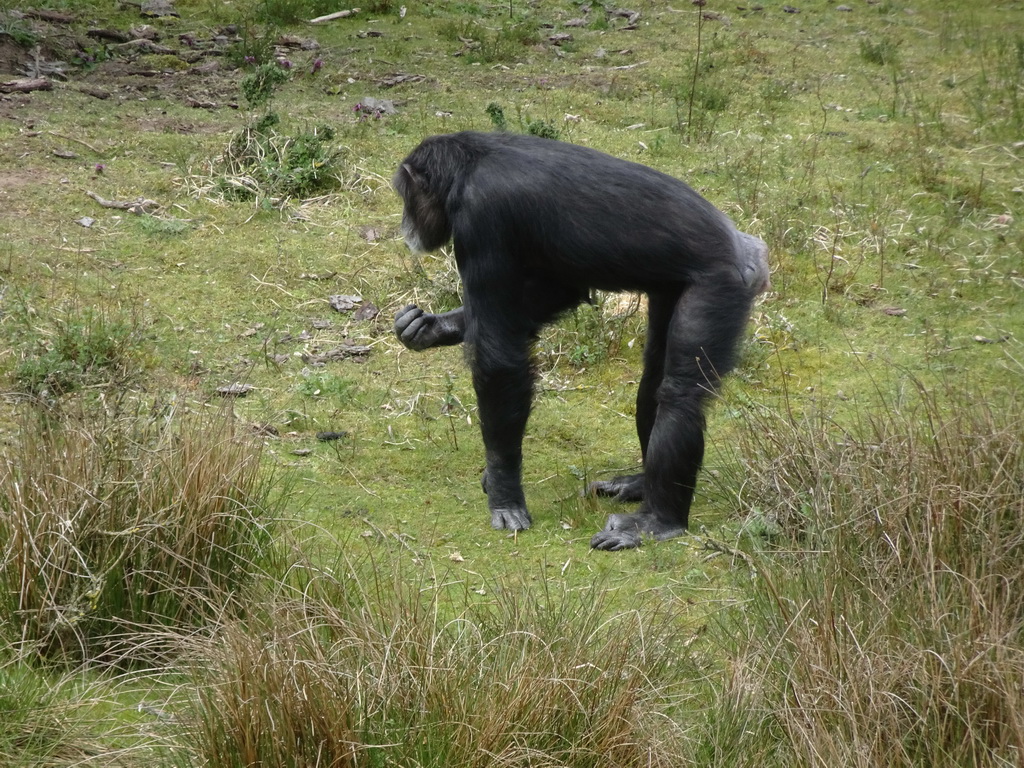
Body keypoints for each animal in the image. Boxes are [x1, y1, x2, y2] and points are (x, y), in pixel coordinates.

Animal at [391, 134, 770, 552]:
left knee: (681, 394)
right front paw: (433, 326)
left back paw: (656, 521)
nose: (405, 223)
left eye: (407, 195)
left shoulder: (483, 220)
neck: (467, 172)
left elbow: (499, 355)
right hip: (674, 287)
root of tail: (752, 251)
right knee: (654, 377)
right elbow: (557, 291)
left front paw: (504, 489)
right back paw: (638, 484)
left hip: (720, 285)